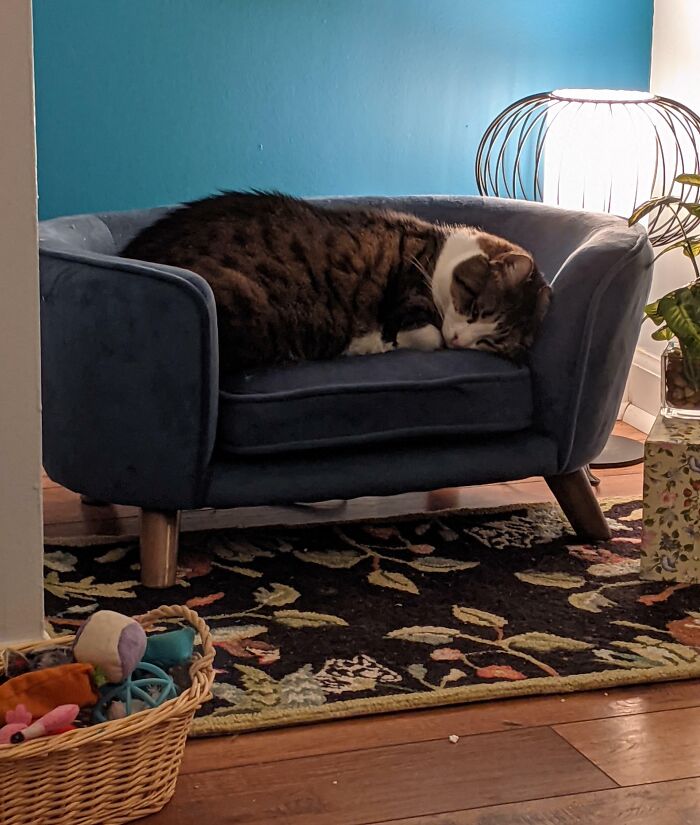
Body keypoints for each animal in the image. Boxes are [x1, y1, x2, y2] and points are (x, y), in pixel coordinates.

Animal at [121, 190, 552, 370]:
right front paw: (379, 343)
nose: (461, 341)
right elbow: (424, 335)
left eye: (490, 343)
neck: (436, 253)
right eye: (475, 308)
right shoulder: (411, 300)